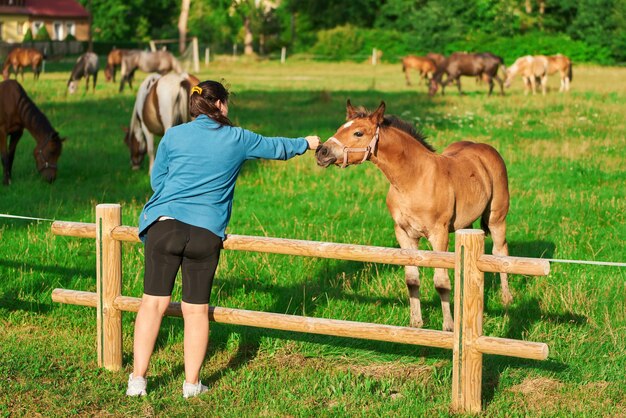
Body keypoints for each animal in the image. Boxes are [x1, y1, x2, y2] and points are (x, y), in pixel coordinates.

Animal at [314, 100, 510, 330]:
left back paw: (507, 299)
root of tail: (484, 148)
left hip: (496, 218)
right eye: (339, 129)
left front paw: (449, 326)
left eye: (358, 133)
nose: (321, 152)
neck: (414, 179)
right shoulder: (404, 234)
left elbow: (441, 282)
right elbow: (412, 279)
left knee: (500, 252)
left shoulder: (438, 235)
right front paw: (415, 323)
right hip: (466, 224)